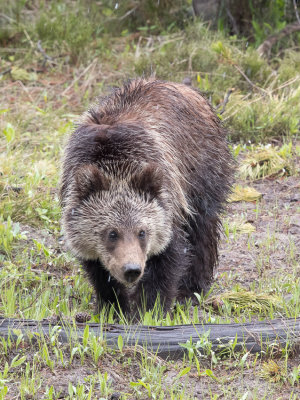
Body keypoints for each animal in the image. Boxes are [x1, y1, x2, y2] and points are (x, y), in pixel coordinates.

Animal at [60, 78, 234, 316]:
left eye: (142, 232)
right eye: (112, 233)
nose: (132, 269)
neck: (115, 163)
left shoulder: (167, 200)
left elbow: (168, 257)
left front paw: (151, 308)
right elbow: (98, 270)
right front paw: (113, 305)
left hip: (201, 170)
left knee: (202, 228)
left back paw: (191, 288)